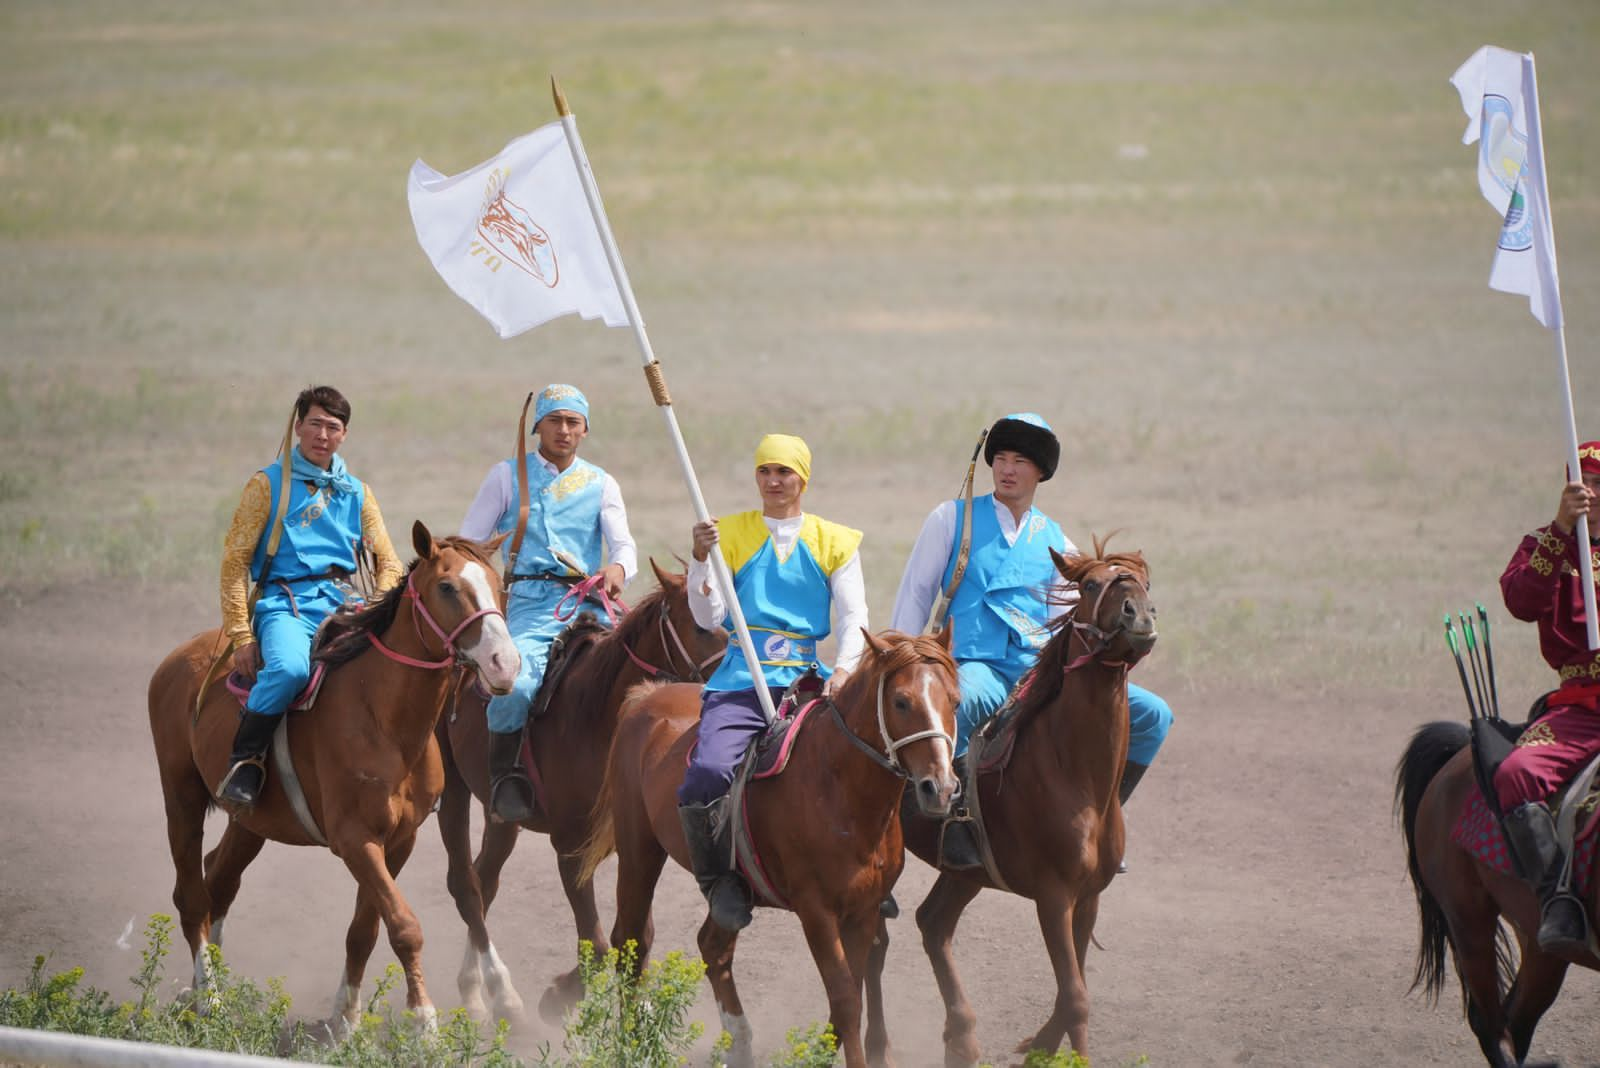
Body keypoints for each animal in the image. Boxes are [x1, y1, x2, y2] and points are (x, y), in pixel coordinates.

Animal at [148, 521, 515, 1029]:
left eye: (499, 586)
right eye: (446, 587)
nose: (505, 663)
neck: (383, 717)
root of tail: (177, 659)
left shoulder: (398, 841)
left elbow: (365, 928)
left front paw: (347, 1016)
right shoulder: (355, 839)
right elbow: (404, 925)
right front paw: (423, 1017)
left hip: (251, 822)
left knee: (219, 880)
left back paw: (208, 985)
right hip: (180, 797)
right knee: (192, 897)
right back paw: (210, 997)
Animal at [432, 562, 720, 1023]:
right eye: (699, 624)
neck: (597, 715)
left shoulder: (631, 842)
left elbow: (635, 936)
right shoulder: (570, 845)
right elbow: (601, 944)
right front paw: (558, 995)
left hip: (502, 819)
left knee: (484, 879)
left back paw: (475, 987)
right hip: (455, 790)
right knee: (465, 883)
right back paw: (492, 994)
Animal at [582, 629, 953, 1061]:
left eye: (955, 700)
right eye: (901, 701)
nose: (941, 788)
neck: (839, 789)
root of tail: (648, 696)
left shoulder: (863, 910)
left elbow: (851, 997)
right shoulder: (816, 911)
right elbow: (845, 999)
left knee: (713, 946)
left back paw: (738, 1044)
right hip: (639, 851)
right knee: (632, 942)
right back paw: (633, 1043)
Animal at [889, 537, 1164, 1061]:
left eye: (1144, 582)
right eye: (1091, 584)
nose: (1139, 615)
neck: (1077, 776)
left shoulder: (1089, 897)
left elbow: (1072, 989)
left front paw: (1040, 1046)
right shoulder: (1053, 898)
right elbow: (1075, 998)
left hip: (965, 874)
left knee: (933, 925)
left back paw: (961, 1038)